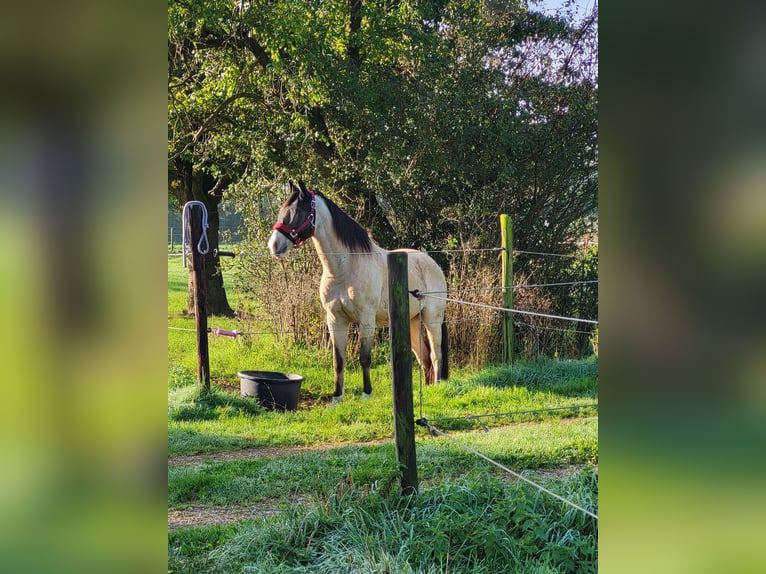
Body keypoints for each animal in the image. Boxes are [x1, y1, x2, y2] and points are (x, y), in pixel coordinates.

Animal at [270, 181, 450, 404]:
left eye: (297, 212)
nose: (274, 245)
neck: (344, 269)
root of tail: (432, 263)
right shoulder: (335, 320)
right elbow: (338, 360)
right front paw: (336, 399)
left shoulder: (366, 319)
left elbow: (364, 357)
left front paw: (366, 395)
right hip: (412, 321)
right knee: (424, 358)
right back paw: (426, 389)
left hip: (432, 318)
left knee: (436, 355)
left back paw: (438, 387)